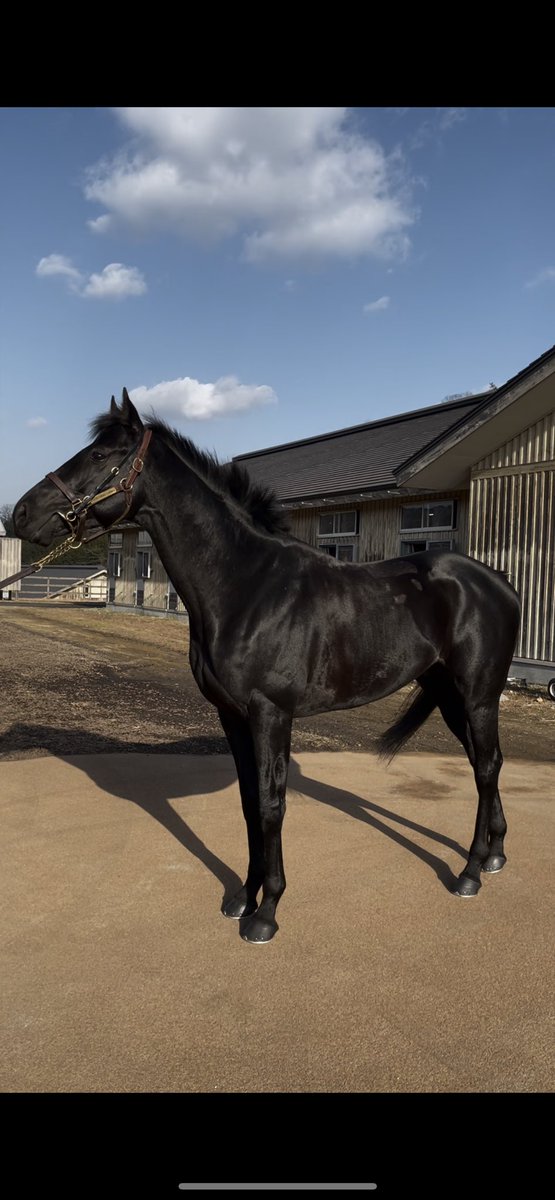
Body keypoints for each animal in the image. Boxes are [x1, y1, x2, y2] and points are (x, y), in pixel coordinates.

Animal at [12, 388, 521, 940]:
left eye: (101, 454)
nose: (19, 513)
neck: (247, 586)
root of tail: (499, 582)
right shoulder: (232, 715)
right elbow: (248, 802)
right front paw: (243, 895)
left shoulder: (271, 712)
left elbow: (271, 803)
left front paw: (268, 911)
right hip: (449, 694)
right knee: (482, 764)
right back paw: (493, 855)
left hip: (479, 693)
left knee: (487, 765)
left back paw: (470, 873)